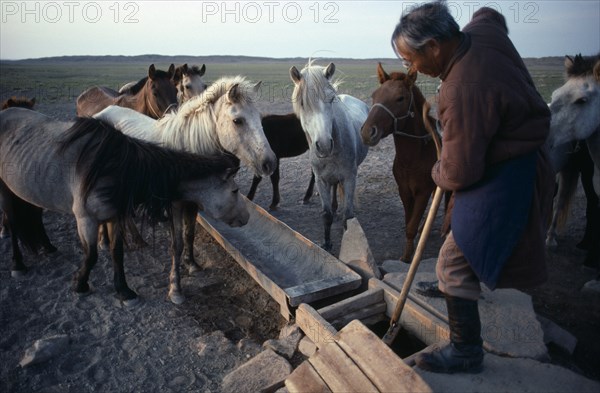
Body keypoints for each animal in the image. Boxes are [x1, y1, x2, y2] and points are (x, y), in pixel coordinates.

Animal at [0, 107, 248, 304]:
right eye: (235, 191)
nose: (245, 219)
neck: (115, 168)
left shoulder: (114, 217)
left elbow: (116, 252)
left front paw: (124, 291)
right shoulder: (85, 219)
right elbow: (91, 255)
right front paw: (80, 284)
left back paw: (47, 246)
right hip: (5, 190)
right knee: (12, 224)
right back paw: (17, 264)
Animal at [288, 60, 368, 251]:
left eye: (331, 100)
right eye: (302, 103)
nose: (324, 145)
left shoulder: (349, 178)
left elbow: (348, 215)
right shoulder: (321, 180)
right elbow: (326, 215)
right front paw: (326, 243)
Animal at [358, 63, 438, 260]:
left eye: (400, 98)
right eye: (374, 95)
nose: (367, 132)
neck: (412, 158)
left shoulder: (423, 192)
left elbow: (411, 225)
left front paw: (408, 257)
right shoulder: (404, 190)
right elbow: (409, 222)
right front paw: (407, 253)